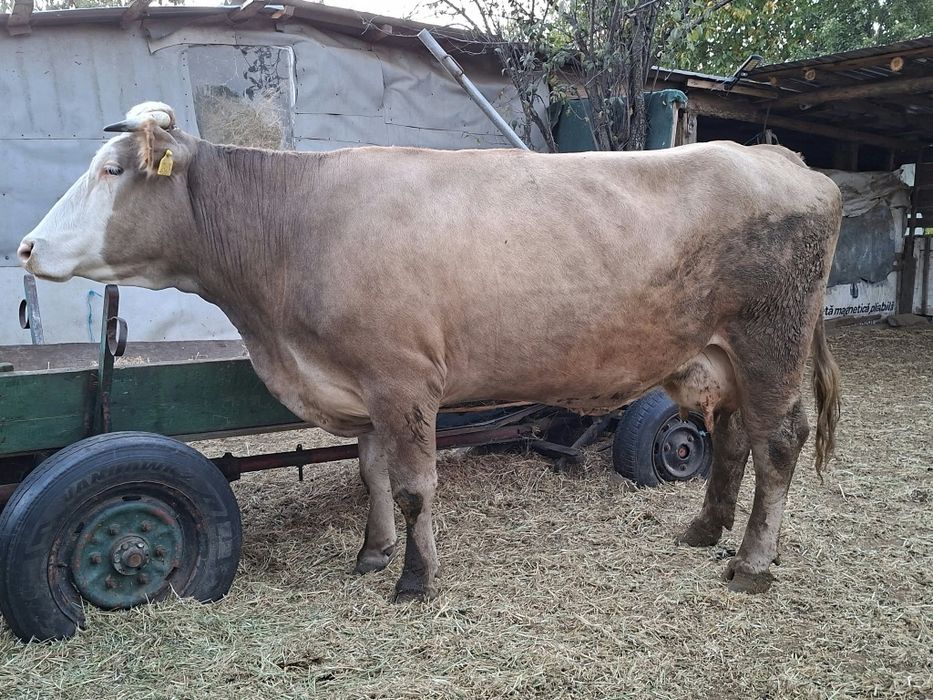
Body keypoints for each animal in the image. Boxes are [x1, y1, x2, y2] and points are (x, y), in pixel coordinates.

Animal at [18, 101, 842, 600]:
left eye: (111, 170)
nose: (24, 247)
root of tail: (780, 159)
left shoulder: (403, 380)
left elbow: (416, 484)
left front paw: (414, 578)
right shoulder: (362, 385)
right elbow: (373, 473)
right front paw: (372, 552)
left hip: (769, 342)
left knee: (777, 443)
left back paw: (751, 563)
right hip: (718, 355)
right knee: (731, 436)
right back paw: (703, 530)